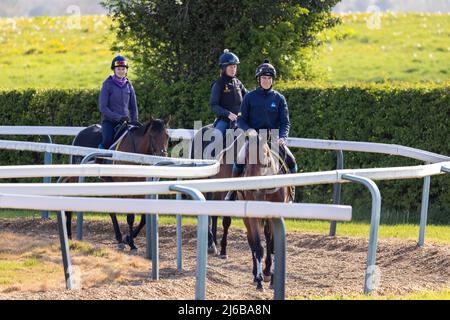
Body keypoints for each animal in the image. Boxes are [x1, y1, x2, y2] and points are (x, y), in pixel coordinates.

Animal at [61, 114, 171, 251]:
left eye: (167, 135)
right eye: (152, 135)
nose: (162, 156)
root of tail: (80, 133)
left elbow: (144, 218)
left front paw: (128, 238)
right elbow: (130, 217)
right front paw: (131, 243)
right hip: (78, 178)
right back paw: (70, 235)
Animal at [237, 132, 294, 290]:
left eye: (265, 159)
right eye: (246, 159)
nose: (251, 185)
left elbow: (274, 246)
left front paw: (274, 279)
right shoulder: (252, 216)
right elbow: (257, 245)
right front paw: (259, 280)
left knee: (269, 238)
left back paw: (268, 271)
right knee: (252, 240)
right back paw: (258, 273)